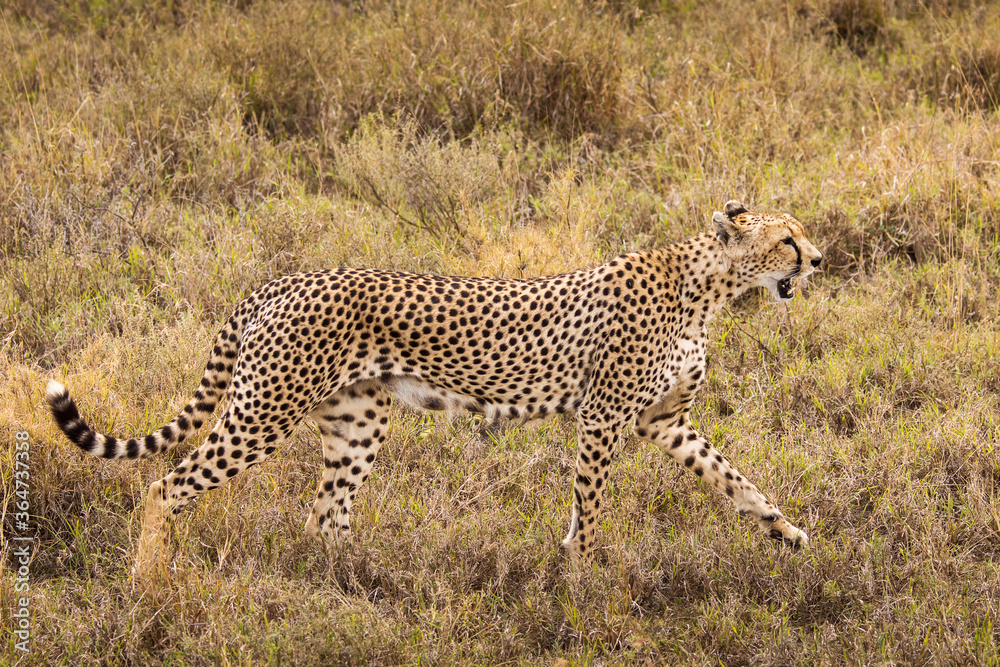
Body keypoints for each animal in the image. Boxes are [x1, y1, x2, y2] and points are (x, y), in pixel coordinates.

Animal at [47, 200, 822, 573]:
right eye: (787, 239)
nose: (818, 259)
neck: (709, 287)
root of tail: (283, 280)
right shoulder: (603, 418)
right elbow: (592, 505)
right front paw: (585, 576)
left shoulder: (663, 420)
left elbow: (734, 478)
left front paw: (786, 532)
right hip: (263, 412)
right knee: (165, 486)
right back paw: (148, 583)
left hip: (357, 422)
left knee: (325, 515)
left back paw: (354, 590)